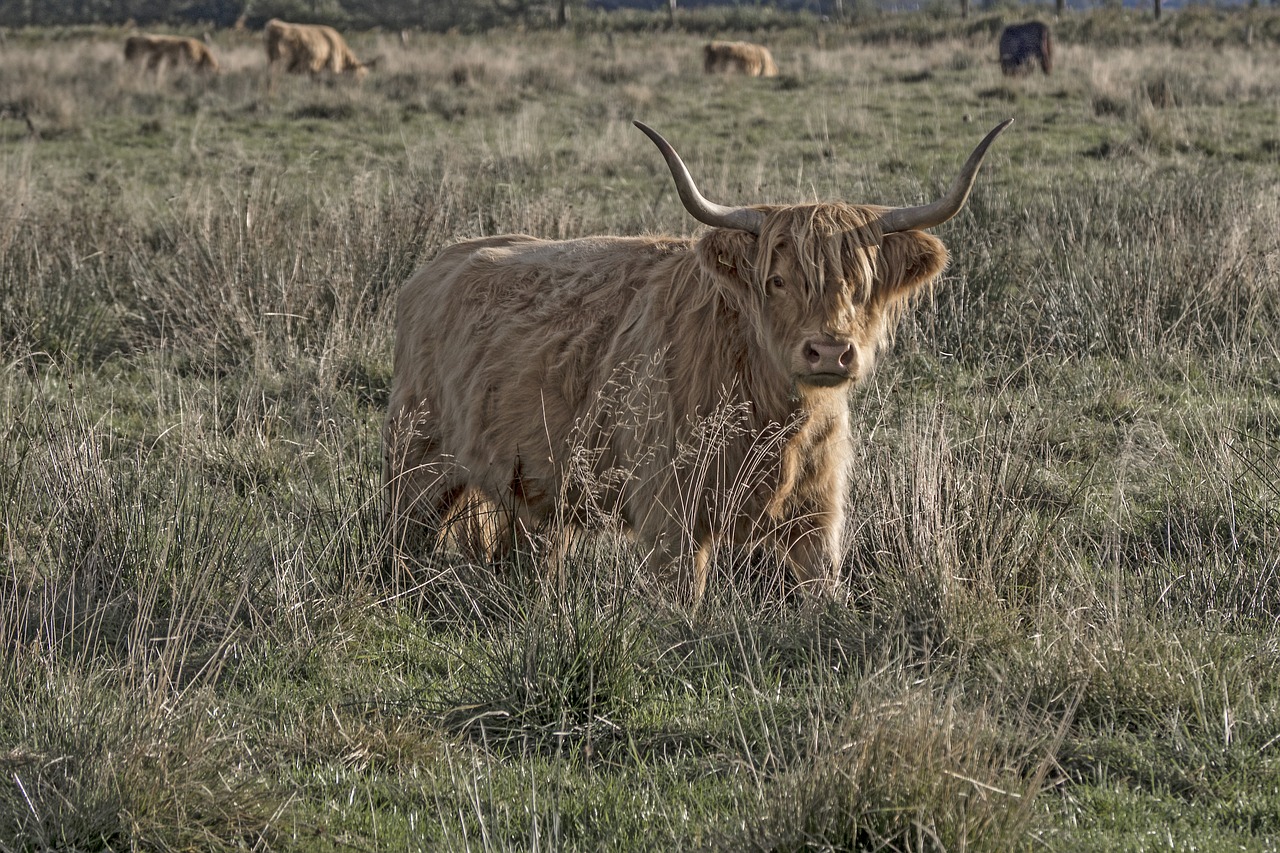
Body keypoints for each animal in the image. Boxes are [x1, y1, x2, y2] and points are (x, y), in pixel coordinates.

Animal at [384, 117, 1013, 596]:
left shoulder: (817, 514)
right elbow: (682, 603)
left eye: (859, 282)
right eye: (776, 281)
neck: (773, 415)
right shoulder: (671, 513)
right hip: (416, 462)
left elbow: (823, 592)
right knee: (400, 539)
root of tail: (435, 264)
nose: (830, 350)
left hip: (534, 486)